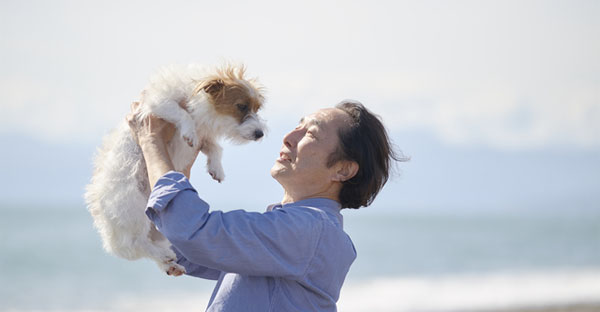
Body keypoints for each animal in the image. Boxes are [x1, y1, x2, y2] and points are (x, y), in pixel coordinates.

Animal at [84, 63, 264, 276]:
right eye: (241, 106)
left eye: (256, 108)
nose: (260, 134)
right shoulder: (158, 103)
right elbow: (182, 113)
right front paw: (189, 131)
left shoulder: (205, 136)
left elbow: (214, 148)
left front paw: (216, 167)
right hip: (133, 209)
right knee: (136, 244)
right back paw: (163, 255)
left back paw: (169, 263)